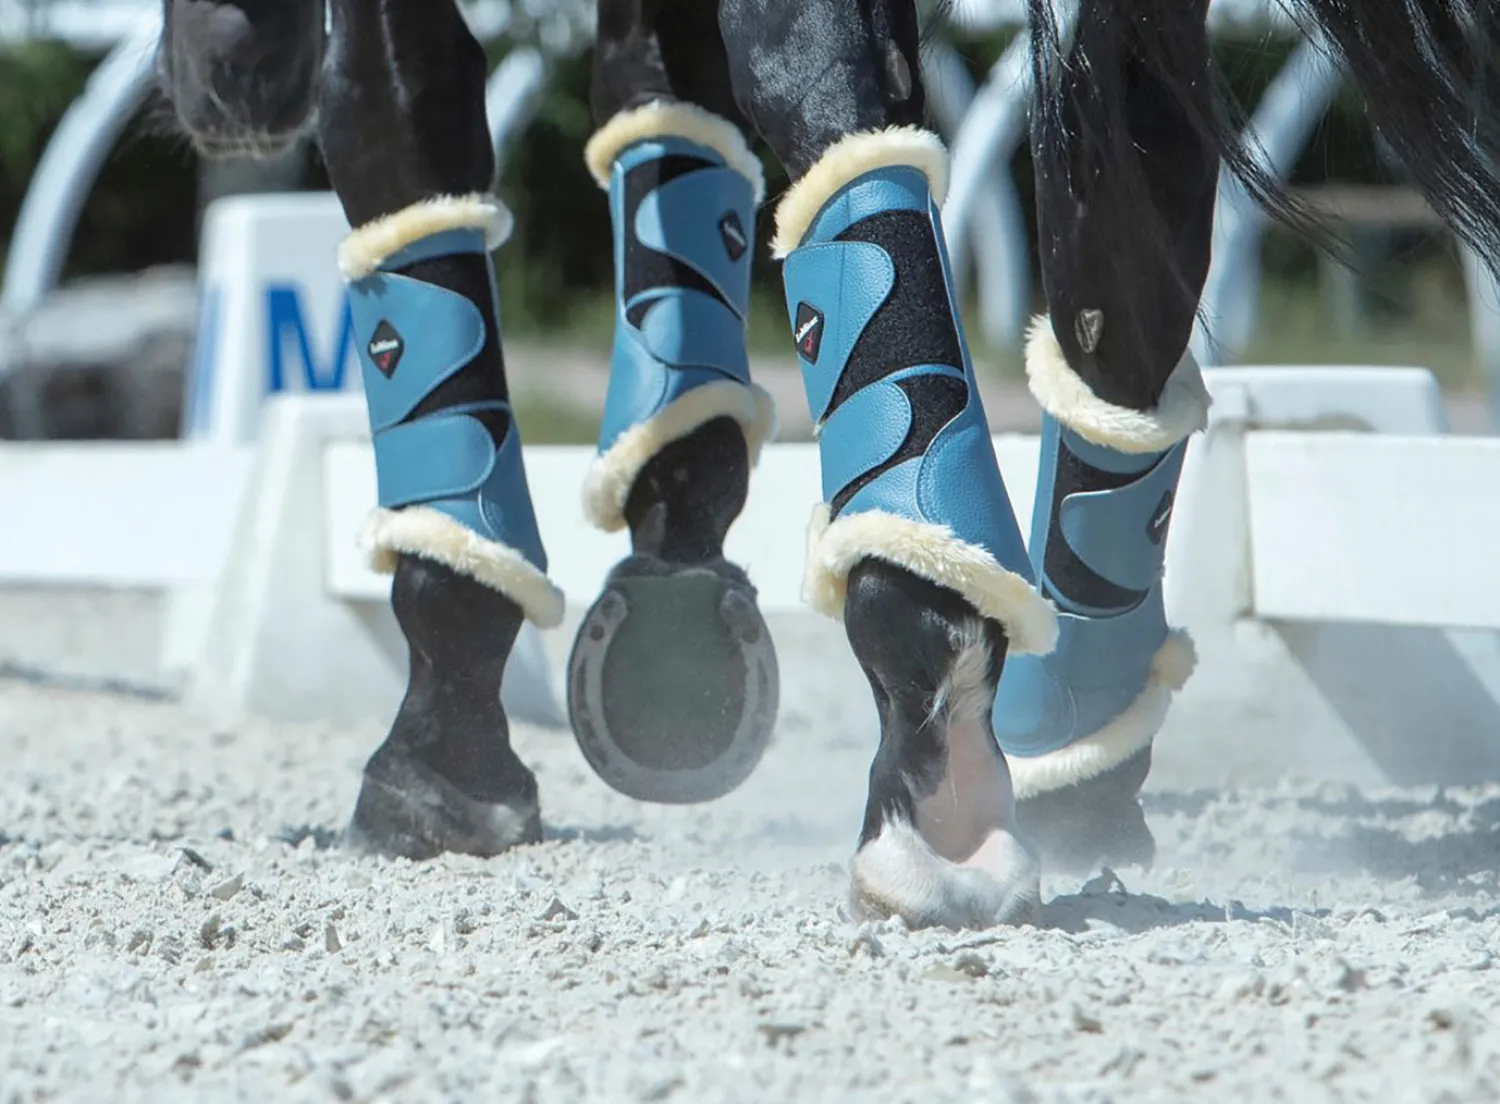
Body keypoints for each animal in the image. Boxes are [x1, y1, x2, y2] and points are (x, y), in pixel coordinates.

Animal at [156, 0, 1500, 931]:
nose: (220, 72)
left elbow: (403, 130)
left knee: (836, 94)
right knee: (1127, 250)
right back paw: (1074, 744)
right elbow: (667, 126)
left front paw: (440, 741)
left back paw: (937, 740)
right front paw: (676, 572)